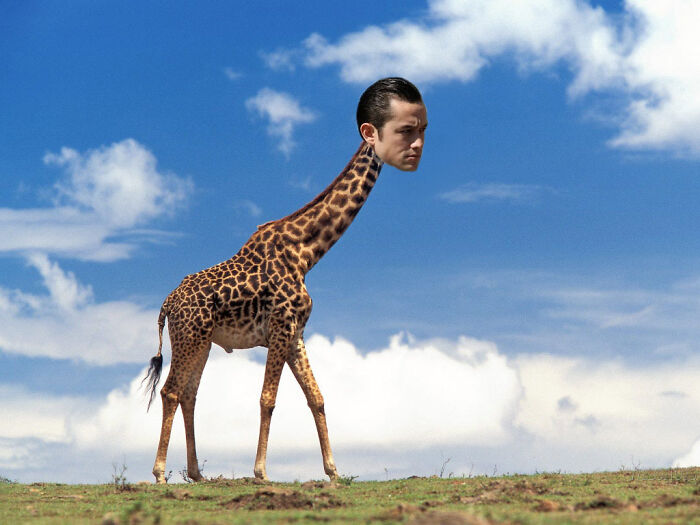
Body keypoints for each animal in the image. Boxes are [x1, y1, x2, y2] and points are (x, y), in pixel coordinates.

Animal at [143, 78, 427, 483]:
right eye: (407, 129)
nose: (417, 153)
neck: (308, 252)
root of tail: (166, 303)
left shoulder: (296, 333)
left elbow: (317, 397)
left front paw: (333, 471)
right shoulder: (280, 326)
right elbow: (269, 398)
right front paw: (261, 471)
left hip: (202, 340)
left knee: (188, 393)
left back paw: (197, 474)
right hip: (189, 335)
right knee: (170, 391)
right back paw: (160, 473)